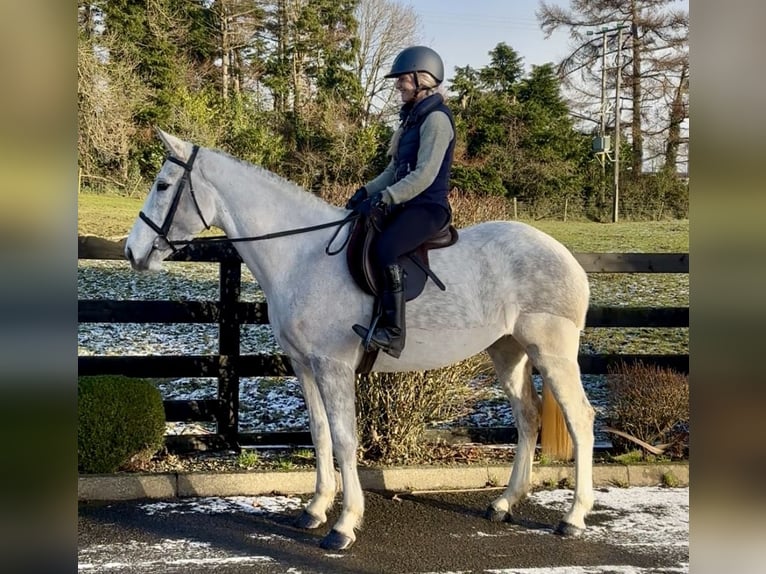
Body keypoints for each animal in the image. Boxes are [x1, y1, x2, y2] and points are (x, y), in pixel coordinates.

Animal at [125, 130, 595, 551]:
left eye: (163, 185)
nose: (132, 251)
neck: (302, 256)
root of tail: (563, 254)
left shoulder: (333, 367)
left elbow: (344, 439)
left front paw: (344, 525)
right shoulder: (305, 366)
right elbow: (319, 434)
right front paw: (315, 509)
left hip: (552, 353)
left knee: (580, 419)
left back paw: (573, 518)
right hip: (508, 352)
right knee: (527, 417)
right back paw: (504, 503)